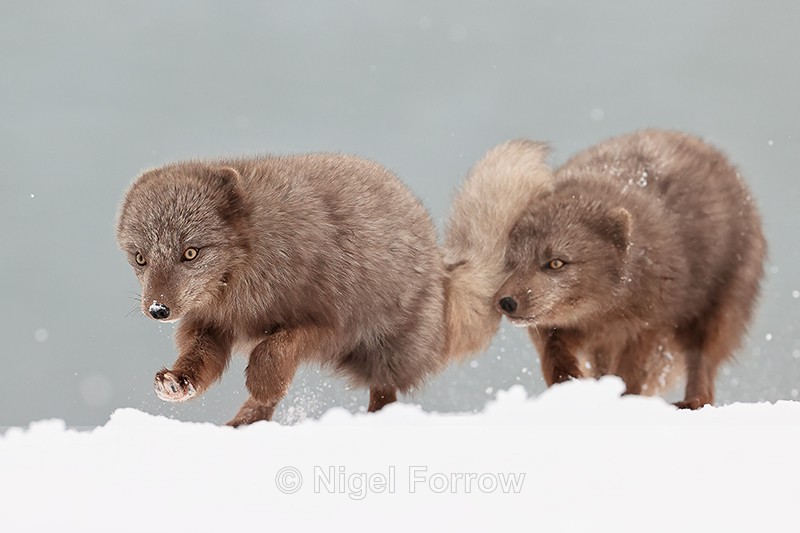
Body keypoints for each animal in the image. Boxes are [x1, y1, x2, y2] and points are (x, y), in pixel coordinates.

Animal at [116, 149, 549, 425]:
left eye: (190, 252)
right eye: (140, 258)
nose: (158, 310)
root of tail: (442, 265)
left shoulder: (333, 325)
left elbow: (275, 349)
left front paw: (261, 378)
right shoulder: (212, 324)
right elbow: (200, 360)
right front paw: (178, 382)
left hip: (389, 350)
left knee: (385, 395)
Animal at [489, 130, 766, 408]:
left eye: (556, 262)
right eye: (510, 261)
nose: (506, 302)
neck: (602, 314)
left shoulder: (649, 325)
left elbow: (632, 372)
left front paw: (623, 399)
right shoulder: (568, 331)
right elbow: (553, 354)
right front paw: (570, 383)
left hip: (719, 308)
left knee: (704, 363)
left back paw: (691, 401)